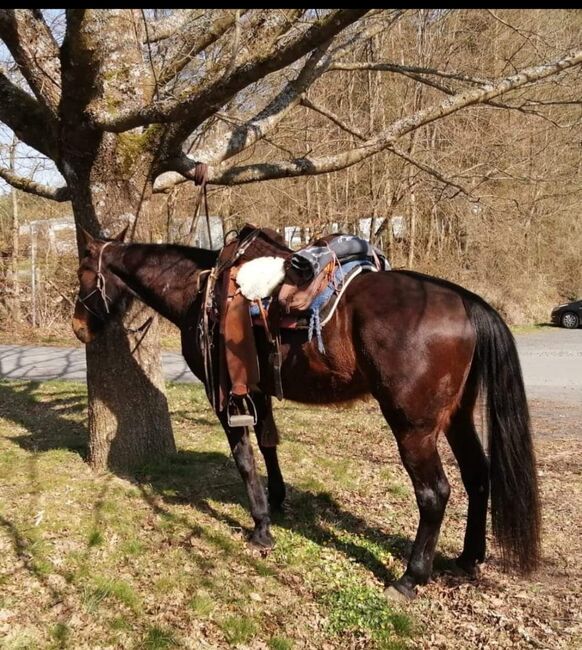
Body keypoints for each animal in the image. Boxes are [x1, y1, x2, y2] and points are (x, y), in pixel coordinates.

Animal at [73, 228, 544, 596]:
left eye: (82, 273)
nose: (78, 328)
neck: (199, 292)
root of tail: (463, 300)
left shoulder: (223, 396)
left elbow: (244, 459)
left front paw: (261, 528)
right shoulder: (257, 390)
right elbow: (268, 444)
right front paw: (277, 500)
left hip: (414, 427)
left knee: (435, 493)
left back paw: (411, 578)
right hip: (456, 418)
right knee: (477, 474)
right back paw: (469, 557)